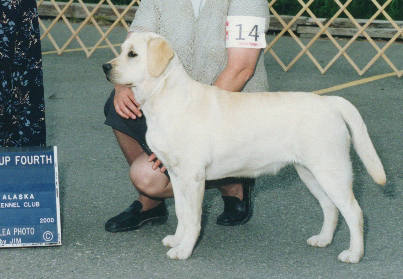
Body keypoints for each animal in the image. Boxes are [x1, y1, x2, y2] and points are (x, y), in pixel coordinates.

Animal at [102, 31, 386, 264]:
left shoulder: (193, 176)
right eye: (122, 50)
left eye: (133, 54)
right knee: (330, 207)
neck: (165, 98)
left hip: (332, 171)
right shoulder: (175, 174)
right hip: (310, 173)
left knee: (354, 212)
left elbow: (193, 218)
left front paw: (184, 250)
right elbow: (182, 213)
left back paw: (354, 254)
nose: (105, 66)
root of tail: (330, 102)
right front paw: (176, 239)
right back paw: (323, 239)